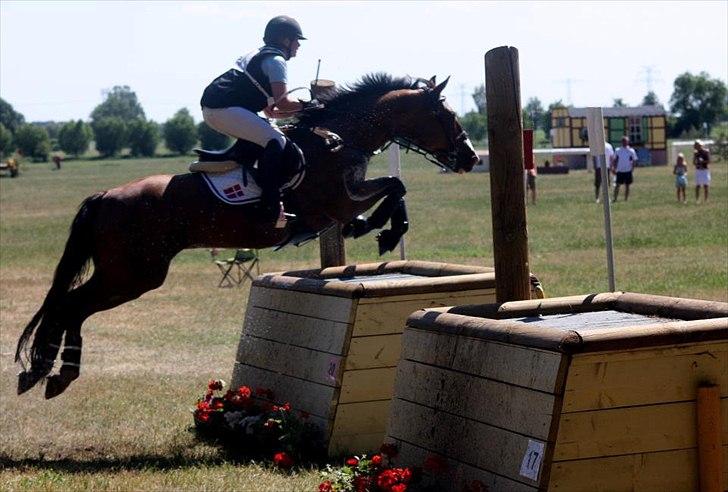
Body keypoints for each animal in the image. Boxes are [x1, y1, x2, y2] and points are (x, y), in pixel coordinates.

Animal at [14, 73, 480, 398]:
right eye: (446, 116)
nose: (471, 158)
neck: (340, 138)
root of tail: (105, 196)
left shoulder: (344, 198)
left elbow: (394, 188)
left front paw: (378, 229)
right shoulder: (335, 203)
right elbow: (393, 187)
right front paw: (379, 230)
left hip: (126, 273)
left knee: (69, 307)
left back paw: (44, 372)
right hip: (133, 274)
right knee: (72, 306)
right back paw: (57, 372)